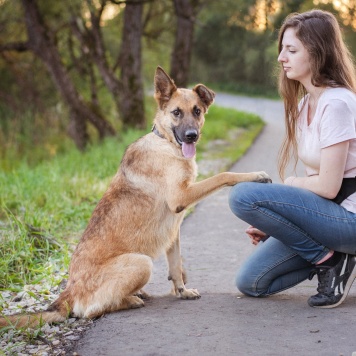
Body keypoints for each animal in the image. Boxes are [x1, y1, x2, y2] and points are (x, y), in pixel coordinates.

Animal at [0, 67, 270, 328]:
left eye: (197, 111)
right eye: (176, 113)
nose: (192, 135)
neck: (166, 143)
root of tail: (68, 293)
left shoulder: (174, 230)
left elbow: (176, 265)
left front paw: (182, 291)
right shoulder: (181, 197)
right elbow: (224, 175)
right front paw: (256, 175)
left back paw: (138, 294)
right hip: (142, 262)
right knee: (91, 311)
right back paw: (132, 300)